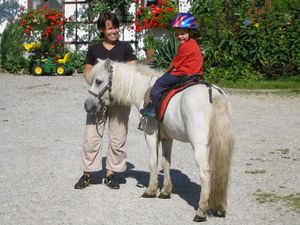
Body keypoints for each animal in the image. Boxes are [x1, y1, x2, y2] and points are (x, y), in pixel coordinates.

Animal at [84, 59, 234, 222]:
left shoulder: (151, 135)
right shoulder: (167, 138)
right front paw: (165, 192)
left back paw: (201, 211)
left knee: (205, 173)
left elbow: (153, 162)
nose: (87, 105)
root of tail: (213, 93)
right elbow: (165, 163)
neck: (144, 88)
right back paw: (219, 208)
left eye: (98, 81)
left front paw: (151, 190)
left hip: (200, 146)